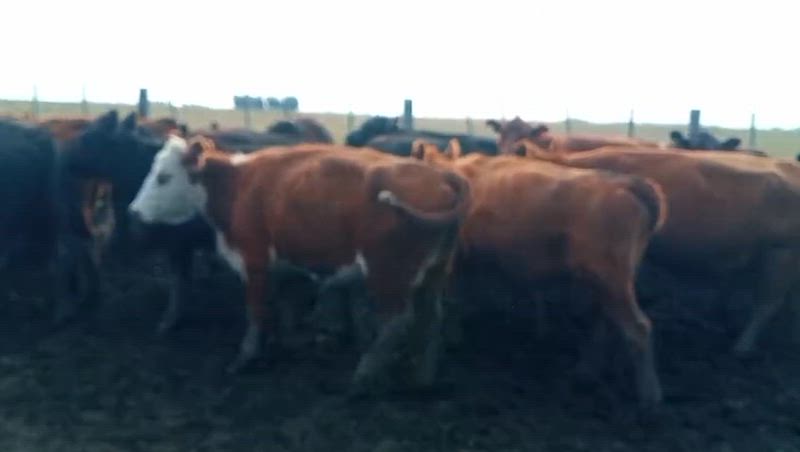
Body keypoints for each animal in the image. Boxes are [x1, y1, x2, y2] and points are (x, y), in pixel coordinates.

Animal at [127, 136, 470, 392]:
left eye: (163, 177)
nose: (132, 213)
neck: (237, 184)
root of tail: (441, 175)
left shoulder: (254, 262)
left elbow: (256, 312)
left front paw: (245, 358)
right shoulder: (285, 269)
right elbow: (282, 310)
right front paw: (280, 347)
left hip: (388, 275)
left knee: (396, 322)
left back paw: (363, 376)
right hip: (433, 274)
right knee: (432, 318)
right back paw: (423, 378)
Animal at [409, 138, 667, 409]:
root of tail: (630, 183)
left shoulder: (455, 256)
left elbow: (453, 300)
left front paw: (452, 337)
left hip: (610, 279)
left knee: (639, 328)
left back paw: (649, 397)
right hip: (607, 282)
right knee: (604, 322)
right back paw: (586, 372)